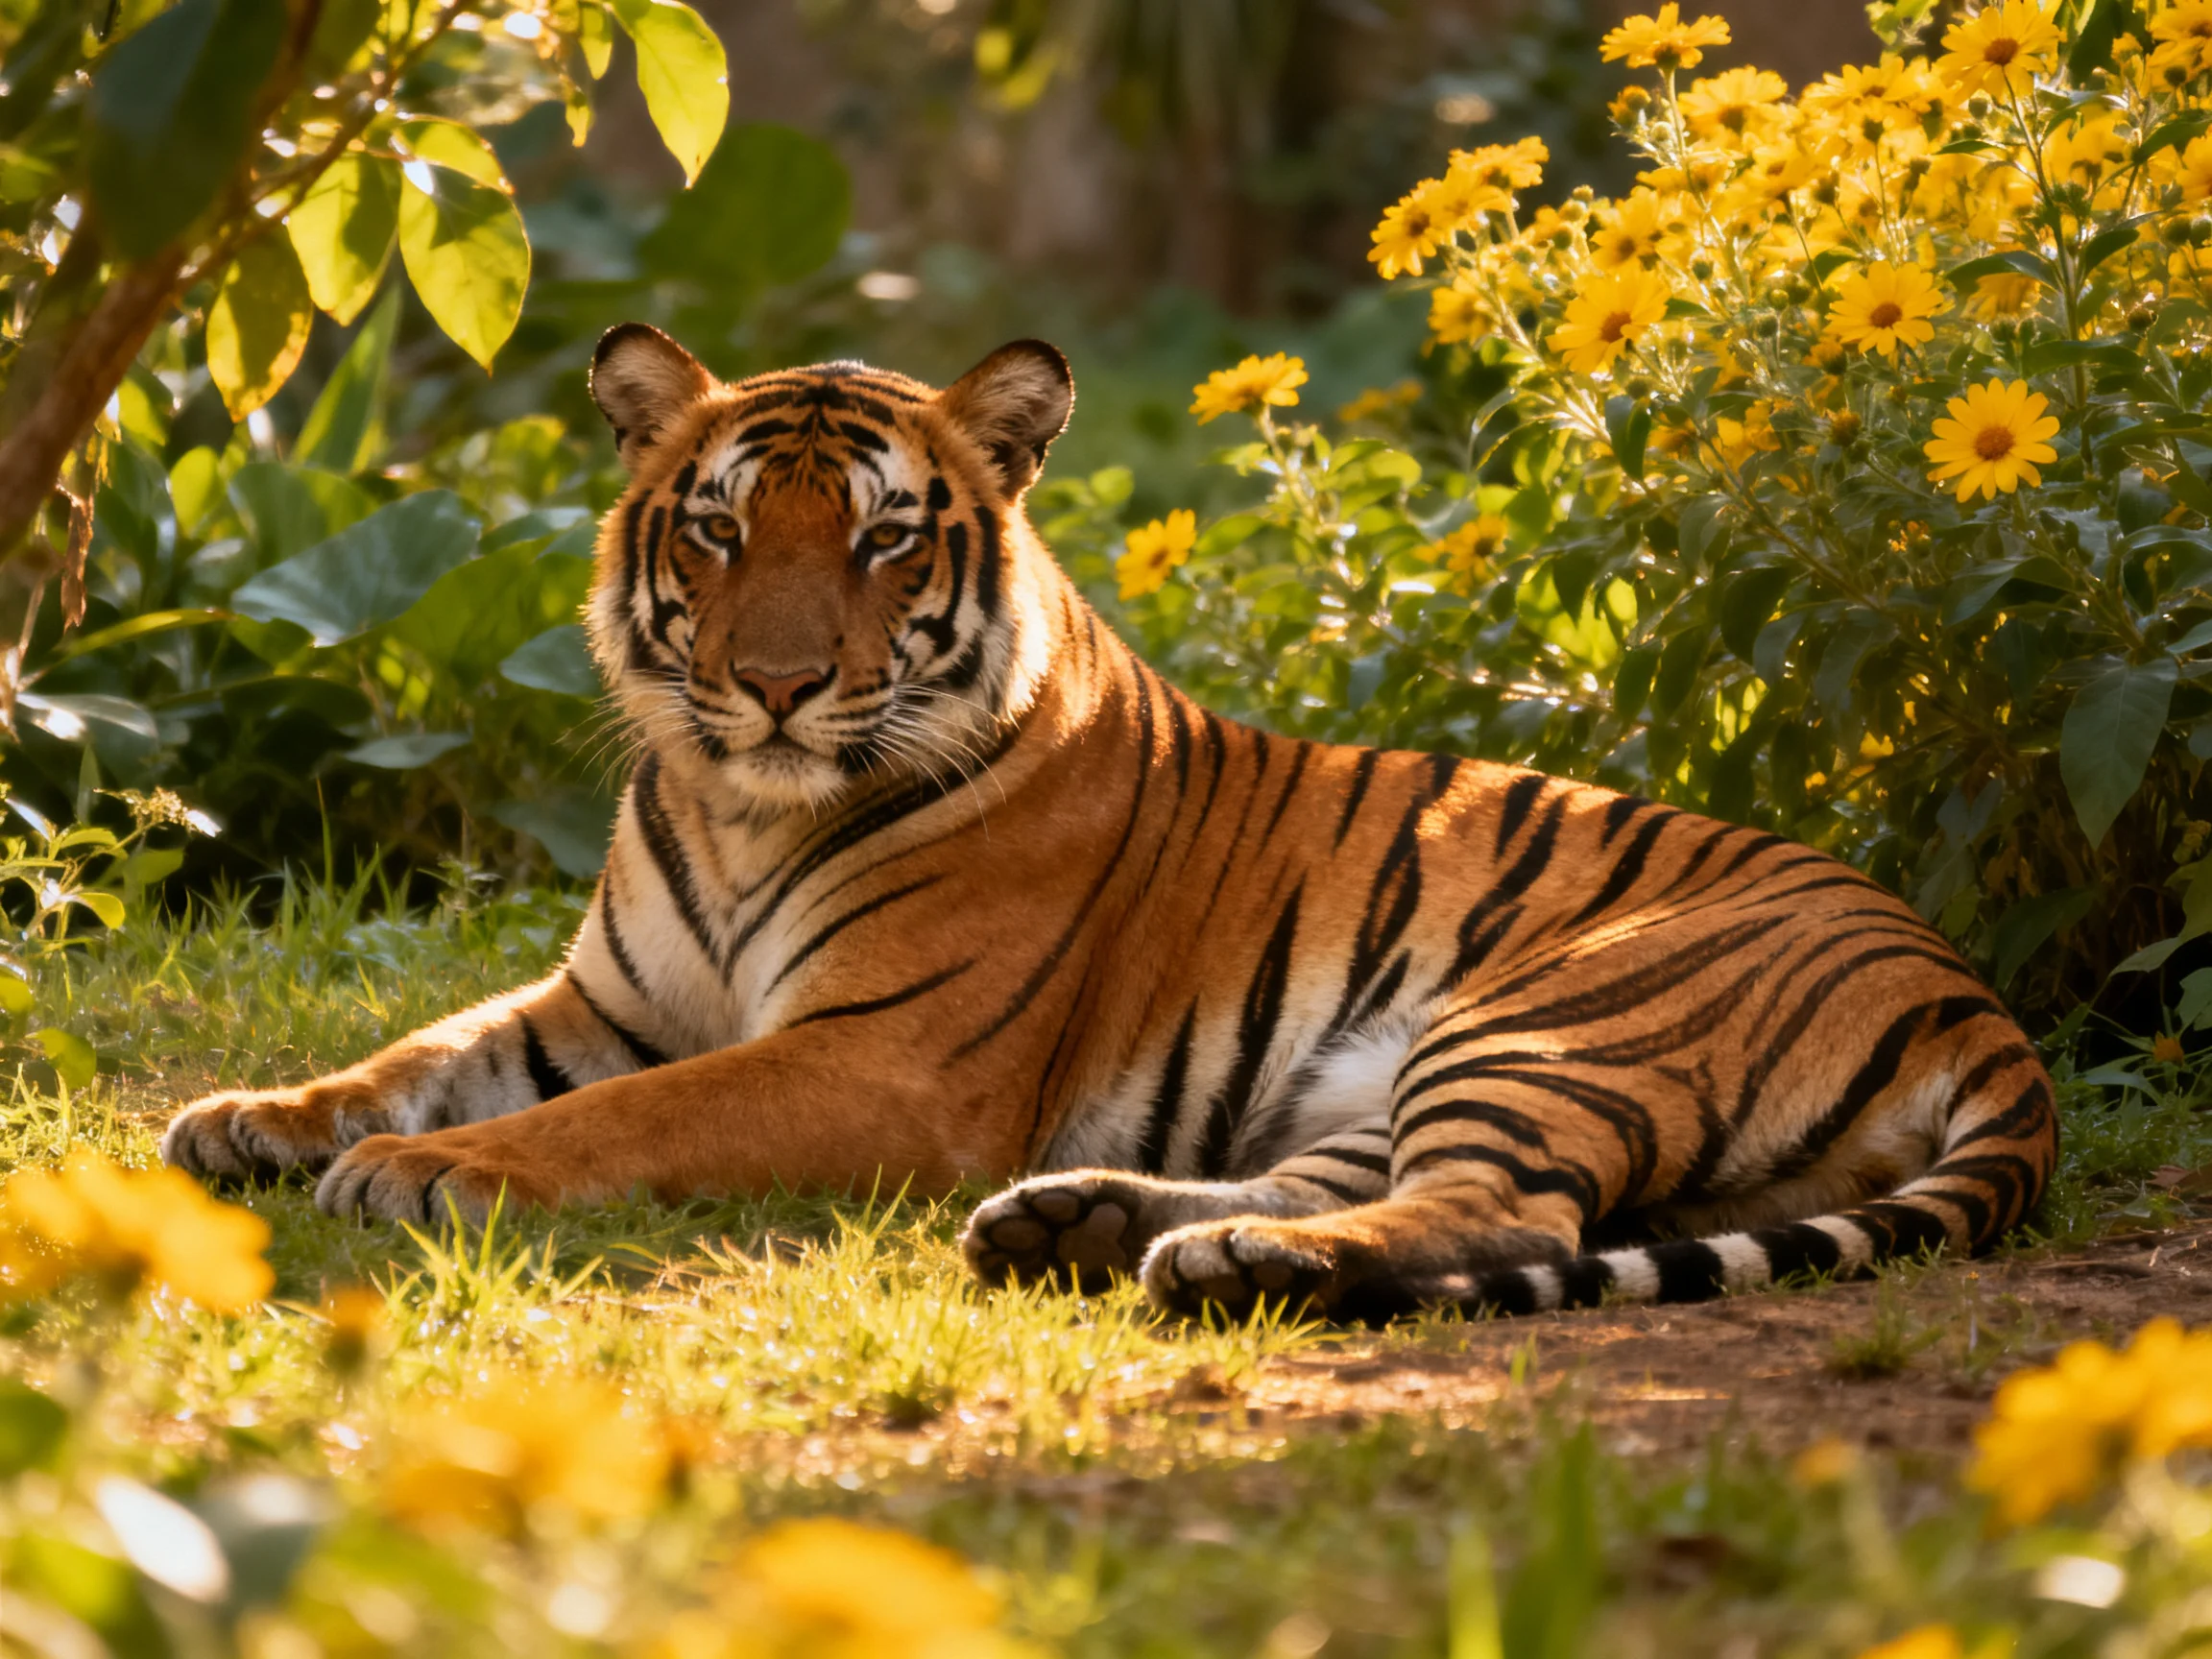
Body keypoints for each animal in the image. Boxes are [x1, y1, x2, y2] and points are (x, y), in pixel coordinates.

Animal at [160, 326, 2058, 1324]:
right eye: (715, 529)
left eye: (882, 539)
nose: (774, 684)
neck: (739, 802)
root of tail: (1974, 994)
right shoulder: (601, 1001)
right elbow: (417, 1050)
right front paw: (255, 1119)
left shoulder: (879, 1058)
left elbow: (626, 1118)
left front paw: (429, 1174)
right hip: (1392, 1078)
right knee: (1367, 1187)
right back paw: (1094, 1226)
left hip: (1554, 1020)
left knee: (1504, 1224)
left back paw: (1202, 1254)